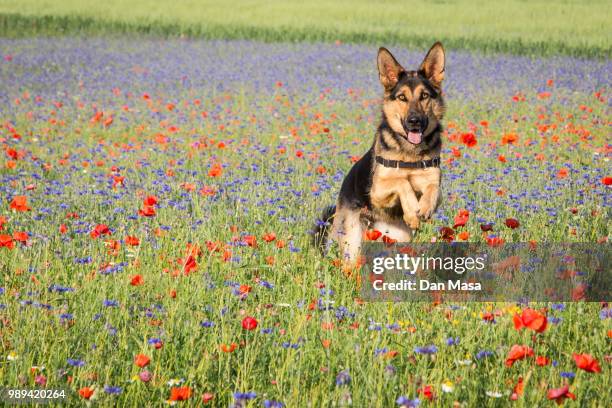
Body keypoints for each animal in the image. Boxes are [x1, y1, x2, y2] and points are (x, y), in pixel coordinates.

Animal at [316, 42, 444, 264]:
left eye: (424, 96)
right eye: (402, 97)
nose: (414, 121)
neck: (409, 153)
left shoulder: (433, 182)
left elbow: (433, 188)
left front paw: (423, 208)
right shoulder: (377, 191)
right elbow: (402, 182)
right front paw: (412, 212)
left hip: (397, 240)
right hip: (353, 241)